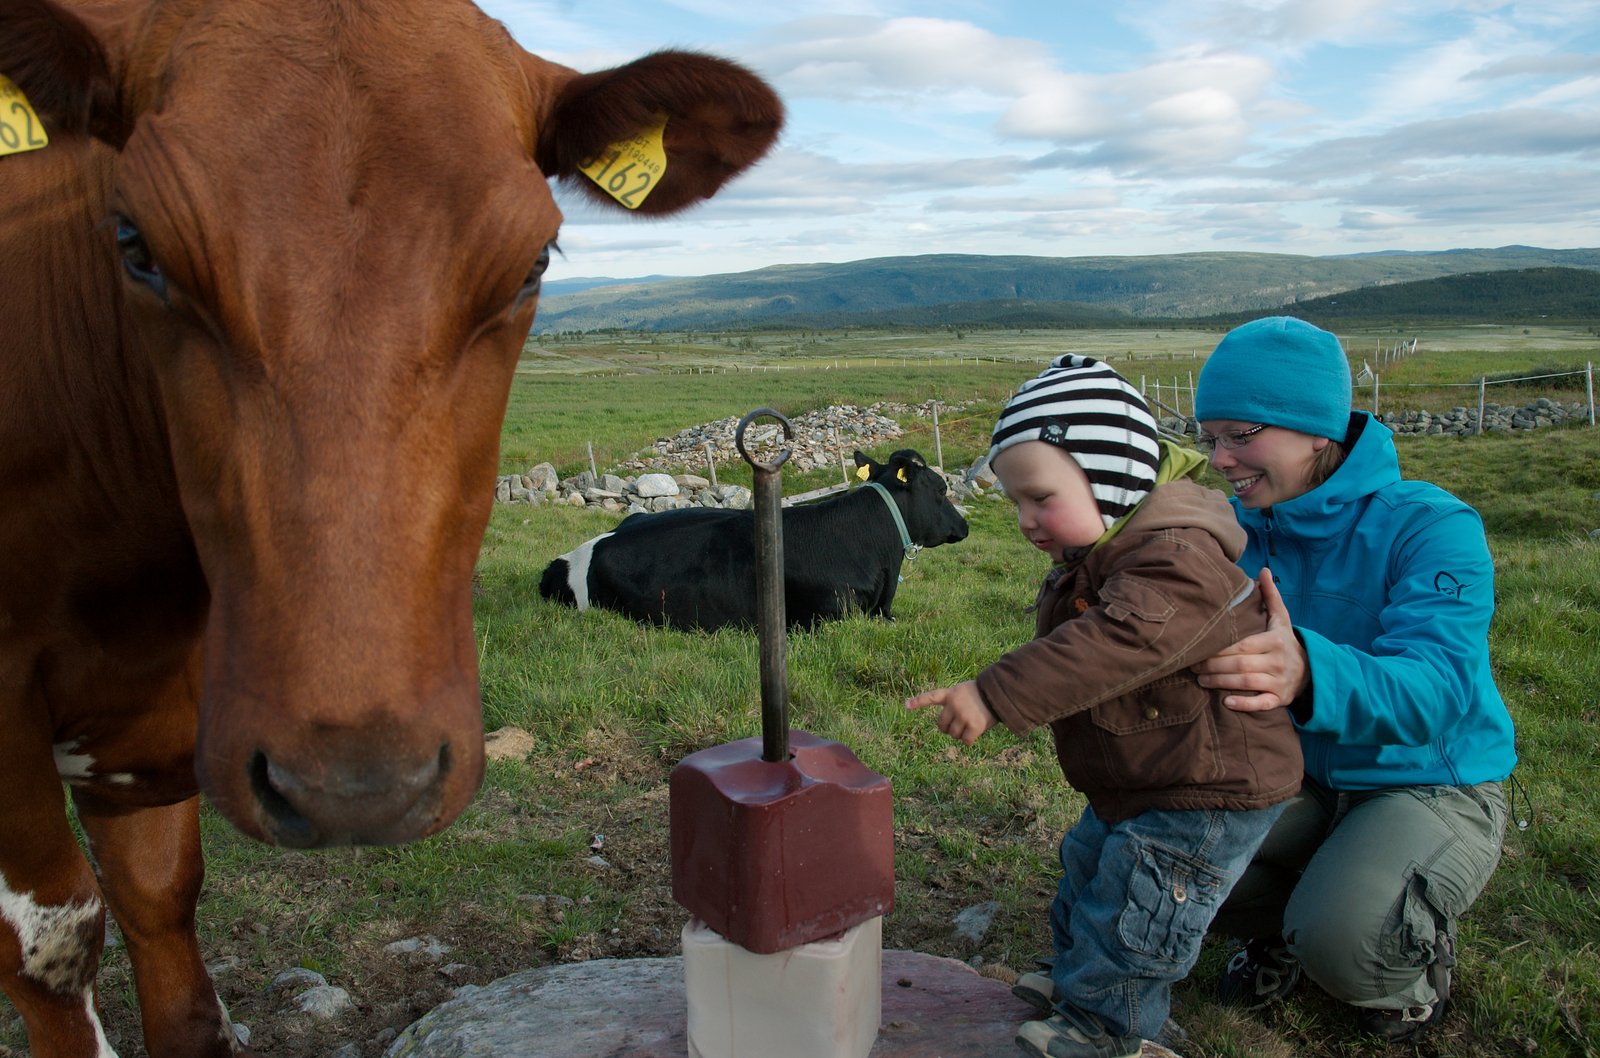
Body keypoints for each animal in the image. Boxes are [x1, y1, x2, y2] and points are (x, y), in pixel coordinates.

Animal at [0, 1, 782, 1054]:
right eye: (134, 245)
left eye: (533, 265)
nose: (356, 784)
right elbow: (50, 942)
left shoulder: (153, 726)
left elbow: (162, 907)